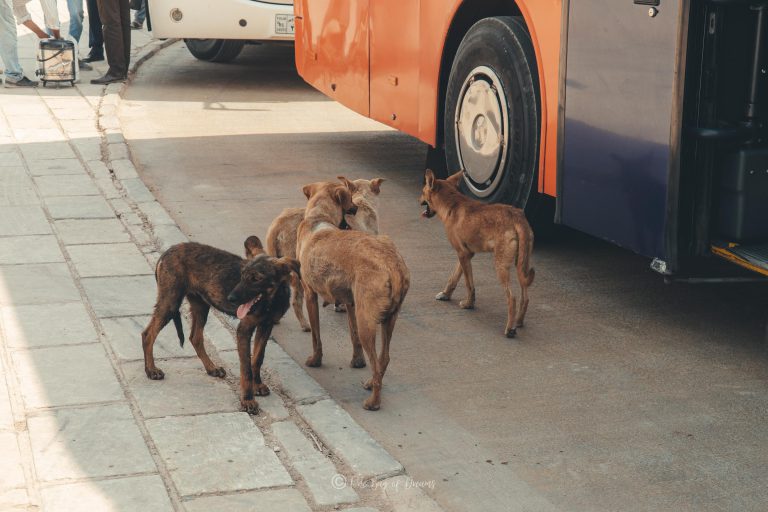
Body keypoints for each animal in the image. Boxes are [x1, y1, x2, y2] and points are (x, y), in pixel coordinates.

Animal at [140, 238, 296, 414]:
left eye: (256, 278)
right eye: (242, 275)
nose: (231, 298)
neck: (271, 301)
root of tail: (167, 252)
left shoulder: (266, 326)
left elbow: (257, 359)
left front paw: (258, 385)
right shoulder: (244, 329)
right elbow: (246, 368)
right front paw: (248, 400)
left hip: (200, 306)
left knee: (195, 337)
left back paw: (211, 368)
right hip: (170, 302)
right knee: (148, 334)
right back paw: (151, 370)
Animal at [296, 180, 412, 412]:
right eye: (350, 198)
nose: (356, 208)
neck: (319, 217)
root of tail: (391, 262)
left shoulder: (310, 294)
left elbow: (316, 336)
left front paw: (315, 360)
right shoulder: (350, 303)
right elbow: (352, 335)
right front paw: (356, 361)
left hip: (366, 320)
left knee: (376, 362)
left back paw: (373, 401)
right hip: (388, 319)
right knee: (384, 359)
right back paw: (371, 382)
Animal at [420, 170, 536, 338]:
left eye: (423, 192)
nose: (419, 199)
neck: (452, 204)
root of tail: (516, 215)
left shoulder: (463, 255)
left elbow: (469, 284)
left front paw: (468, 304)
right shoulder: (465, 255)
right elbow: (453, 278)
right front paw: (446, 294)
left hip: (501, 267)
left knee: (512, 298)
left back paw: (510, 329)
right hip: (522, 265)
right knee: (525, 298)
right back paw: (518, 322)